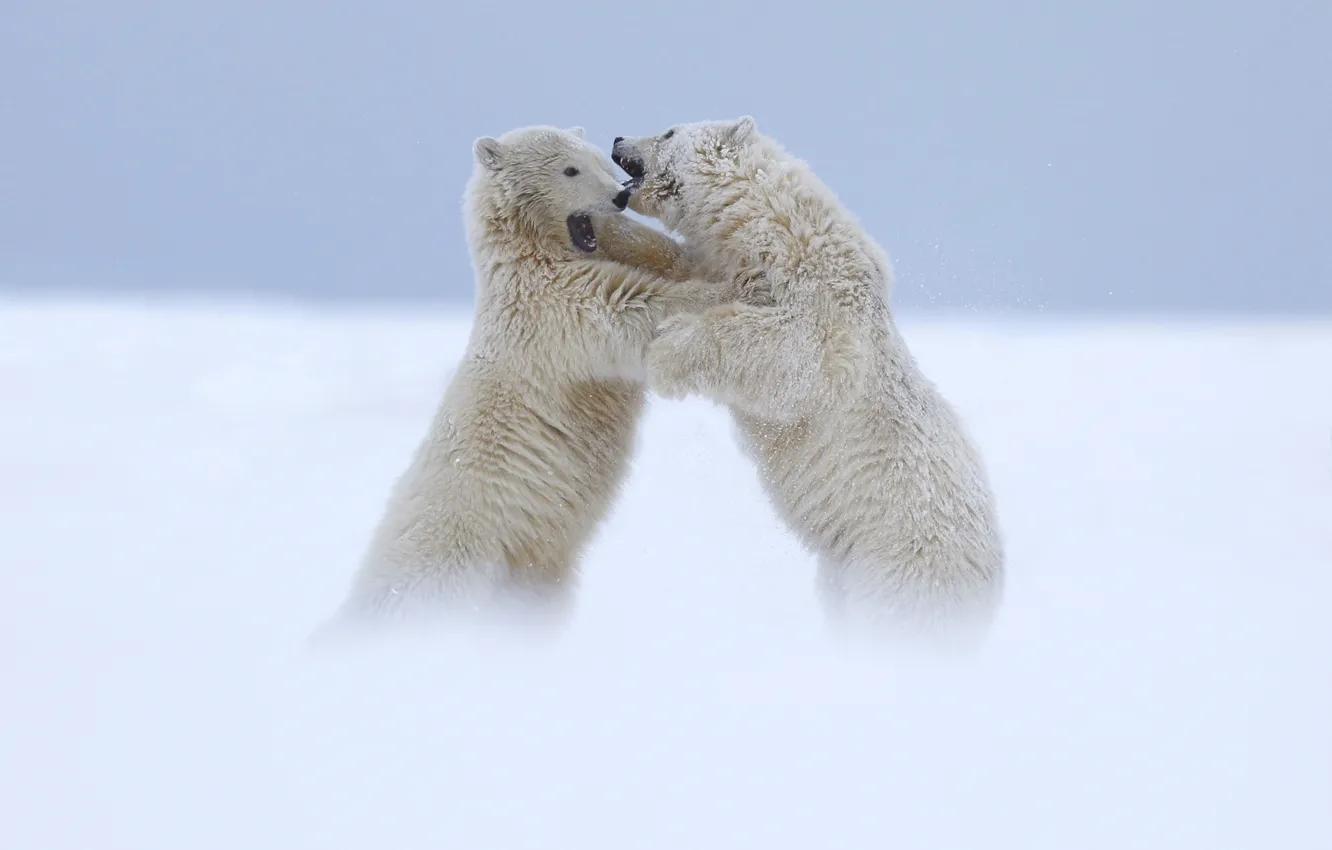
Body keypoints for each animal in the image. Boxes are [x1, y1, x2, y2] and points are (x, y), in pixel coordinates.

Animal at [317, 123, 724, 636]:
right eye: (569, 169)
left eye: (597, 159)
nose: (619, 196)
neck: (527, 254)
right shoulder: (549, 308)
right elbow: (631, 305)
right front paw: (719, 293)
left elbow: (657, 258)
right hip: (458, 555)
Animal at [610, 114, 1001, 644]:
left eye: (669, 132)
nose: (617, 139)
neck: (775, 228)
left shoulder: (827, 304)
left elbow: (792, 357)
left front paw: (669, 349)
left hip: (902, 569)